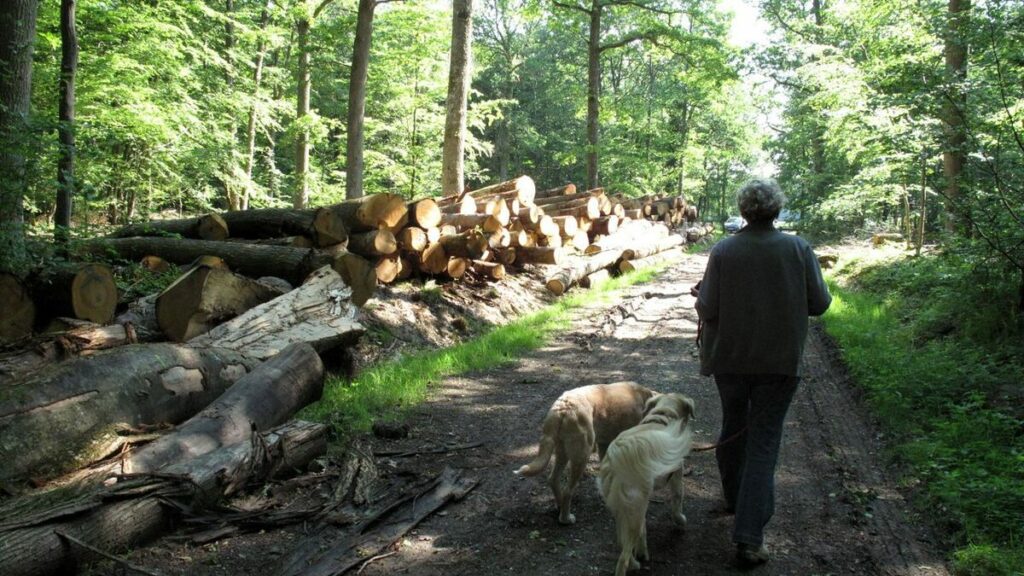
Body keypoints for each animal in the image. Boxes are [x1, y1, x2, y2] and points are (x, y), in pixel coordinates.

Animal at [509, 381, 655, 524]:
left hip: (563, 452)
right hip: (582, 456)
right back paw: (566, 519)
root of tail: (562, 407)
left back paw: (560, 507)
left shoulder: (604, 445)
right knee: (568, 491)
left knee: (553, 479)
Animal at [598, 391, 696, 573]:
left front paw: (642, 551)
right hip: (634, 507)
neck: (663, 415)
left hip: (624, 507)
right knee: (623, 557)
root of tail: (616, 456)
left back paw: (635, 560)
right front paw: (680, 520)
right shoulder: (677, 473)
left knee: (623, 540)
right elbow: (678, 499)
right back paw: (631, 565)